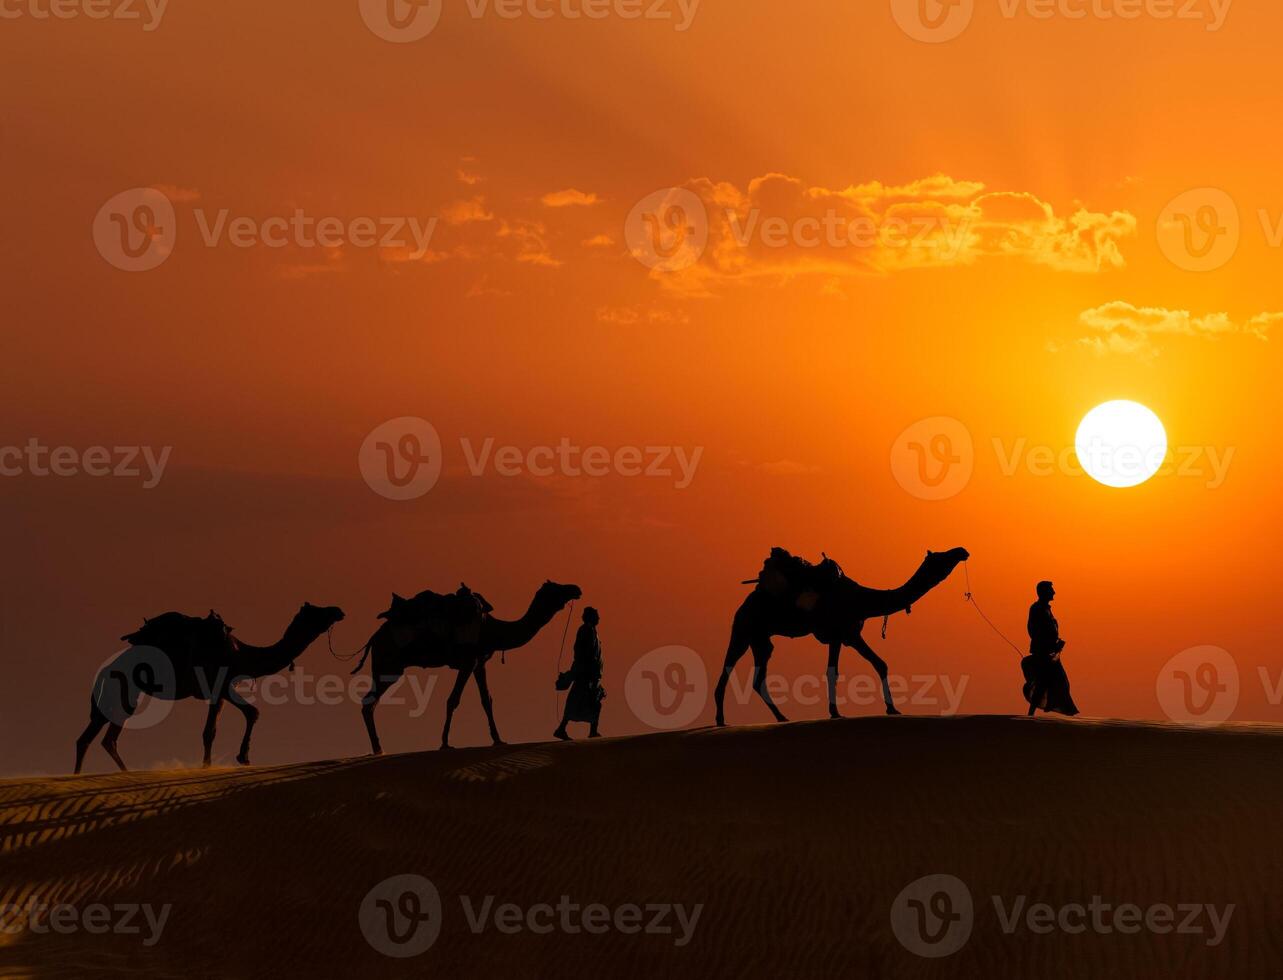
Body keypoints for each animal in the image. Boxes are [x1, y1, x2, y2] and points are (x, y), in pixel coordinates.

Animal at [77, 597, 343, 774]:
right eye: (317, 612)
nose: (338, 610)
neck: (241, 654)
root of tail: (104, 671)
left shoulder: (218, 693)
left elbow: (210, 731)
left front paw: (209, 765)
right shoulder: (221, 683)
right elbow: (252, 712)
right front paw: (243, 757)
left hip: (124, 696)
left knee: (100, 739)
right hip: (119, 693)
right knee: (93, 738)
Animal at [356, 577, 587, 754]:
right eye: (556, 588)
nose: (576, 588)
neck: (492, 630)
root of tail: (374, 638)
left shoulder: (479, 663)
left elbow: (487, 700)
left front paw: (498, 739)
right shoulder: (467, 662)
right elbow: (453, 700)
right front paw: (445, 743)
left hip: (385, 667)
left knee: (370, 703)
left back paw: (378, 748)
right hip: (389, 666)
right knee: (369, 702)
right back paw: (378, 748)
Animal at [713, 546, 969, 723]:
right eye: (941, 557)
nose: (962, 550)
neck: (863, 600)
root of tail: (747, 601)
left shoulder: (847, 635)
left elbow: (878, 664)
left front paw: (891, 708)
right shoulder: (843, 634)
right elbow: (835, 671)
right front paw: (836, 712)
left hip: (761, 639)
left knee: (758, 676)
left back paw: (781, 716)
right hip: (744, 628)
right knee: (728, 667)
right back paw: (721, 719)